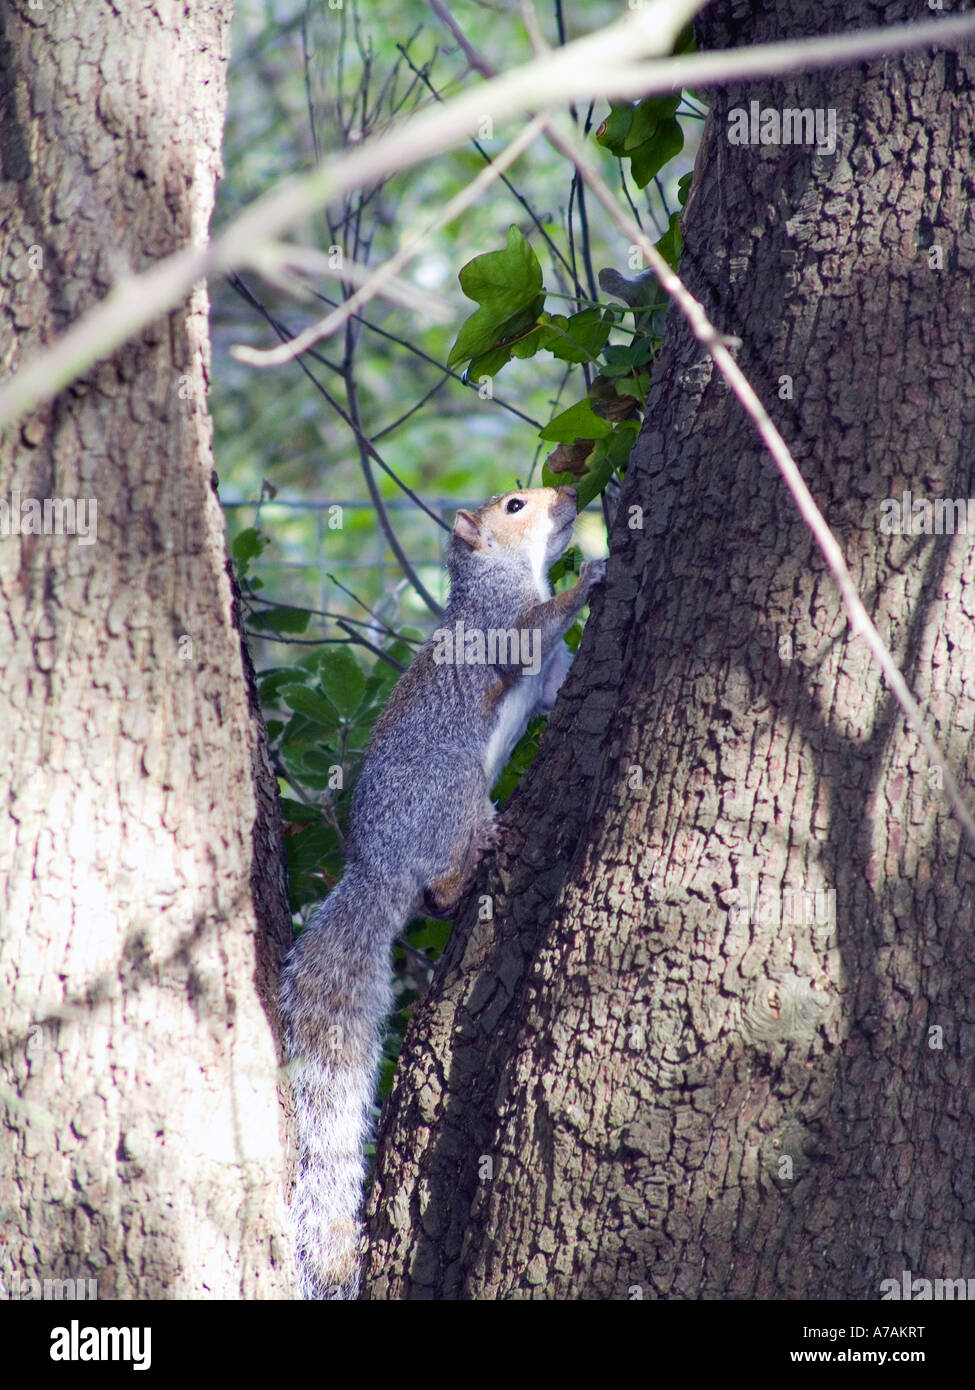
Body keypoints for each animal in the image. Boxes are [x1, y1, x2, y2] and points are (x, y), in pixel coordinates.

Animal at [279, 484, 607, 1299]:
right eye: (515, 504)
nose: (569, 494)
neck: (508, 571)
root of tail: (378, 867)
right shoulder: (498, 627)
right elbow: (529, 632)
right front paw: (591, 575)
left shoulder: (550, 678)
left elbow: (556, 684)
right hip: (455, 792)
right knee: (440, 885)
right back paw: (474, 856)